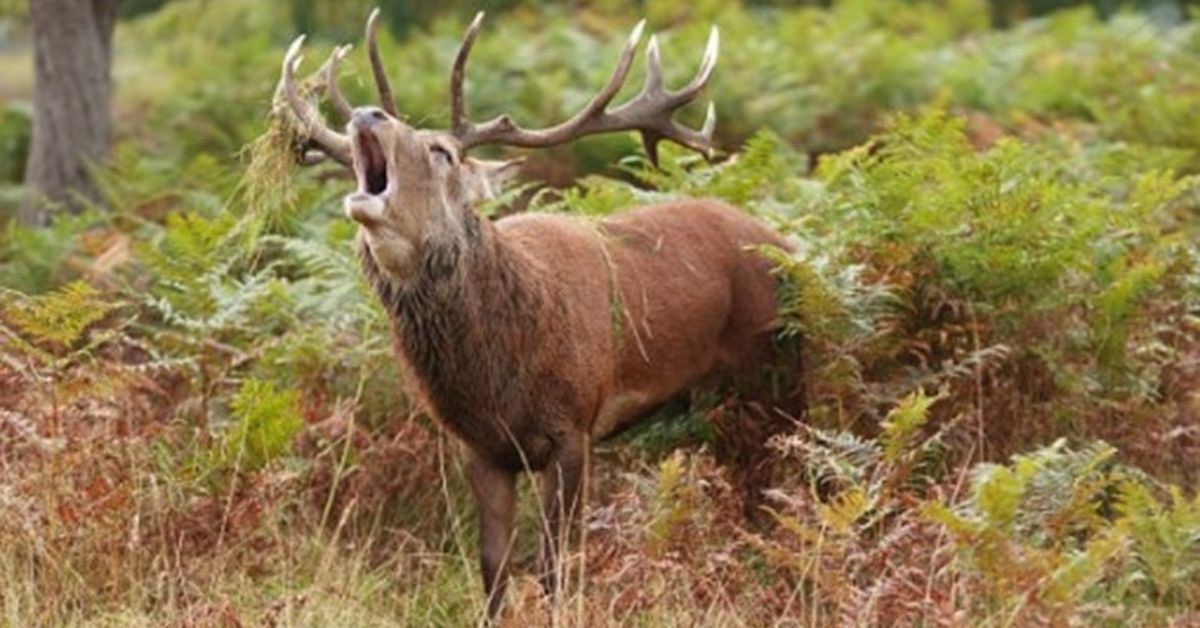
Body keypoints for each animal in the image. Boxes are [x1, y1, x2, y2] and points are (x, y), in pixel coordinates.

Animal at [274, 8, 801, 619]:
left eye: (442, 152)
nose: (365, 112)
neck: (499, 382)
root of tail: (787, 244)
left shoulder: (576, 427)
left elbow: (555, 562)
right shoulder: (481, 448)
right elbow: (493, 566)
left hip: (773, 375)